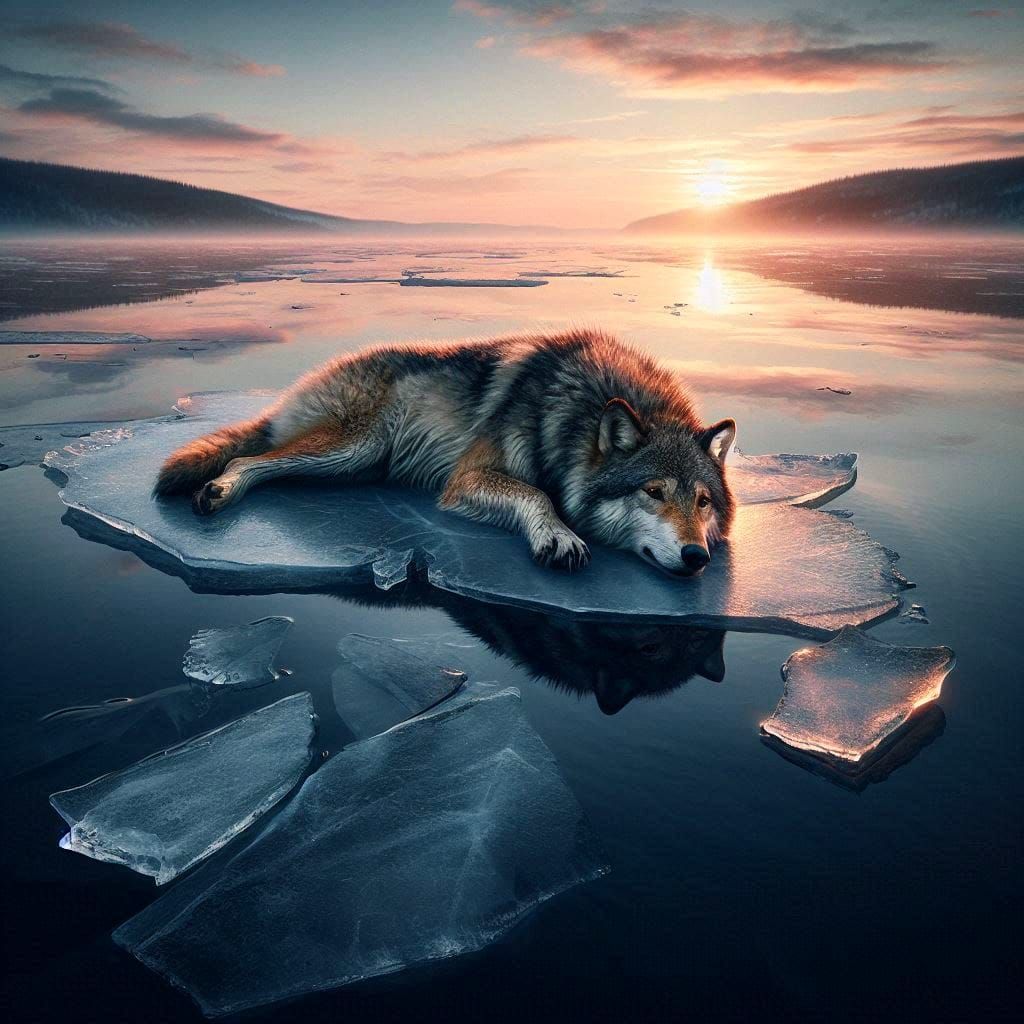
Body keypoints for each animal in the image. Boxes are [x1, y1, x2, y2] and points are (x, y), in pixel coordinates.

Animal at [154, 328, 736, 576]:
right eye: (653, 492)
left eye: (703, 502)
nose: (696, 557)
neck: (576, 410)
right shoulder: (467, 479)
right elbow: (537, 495)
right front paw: (558, 536)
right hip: (351, 448)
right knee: (249, 459)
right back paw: (219, 489)